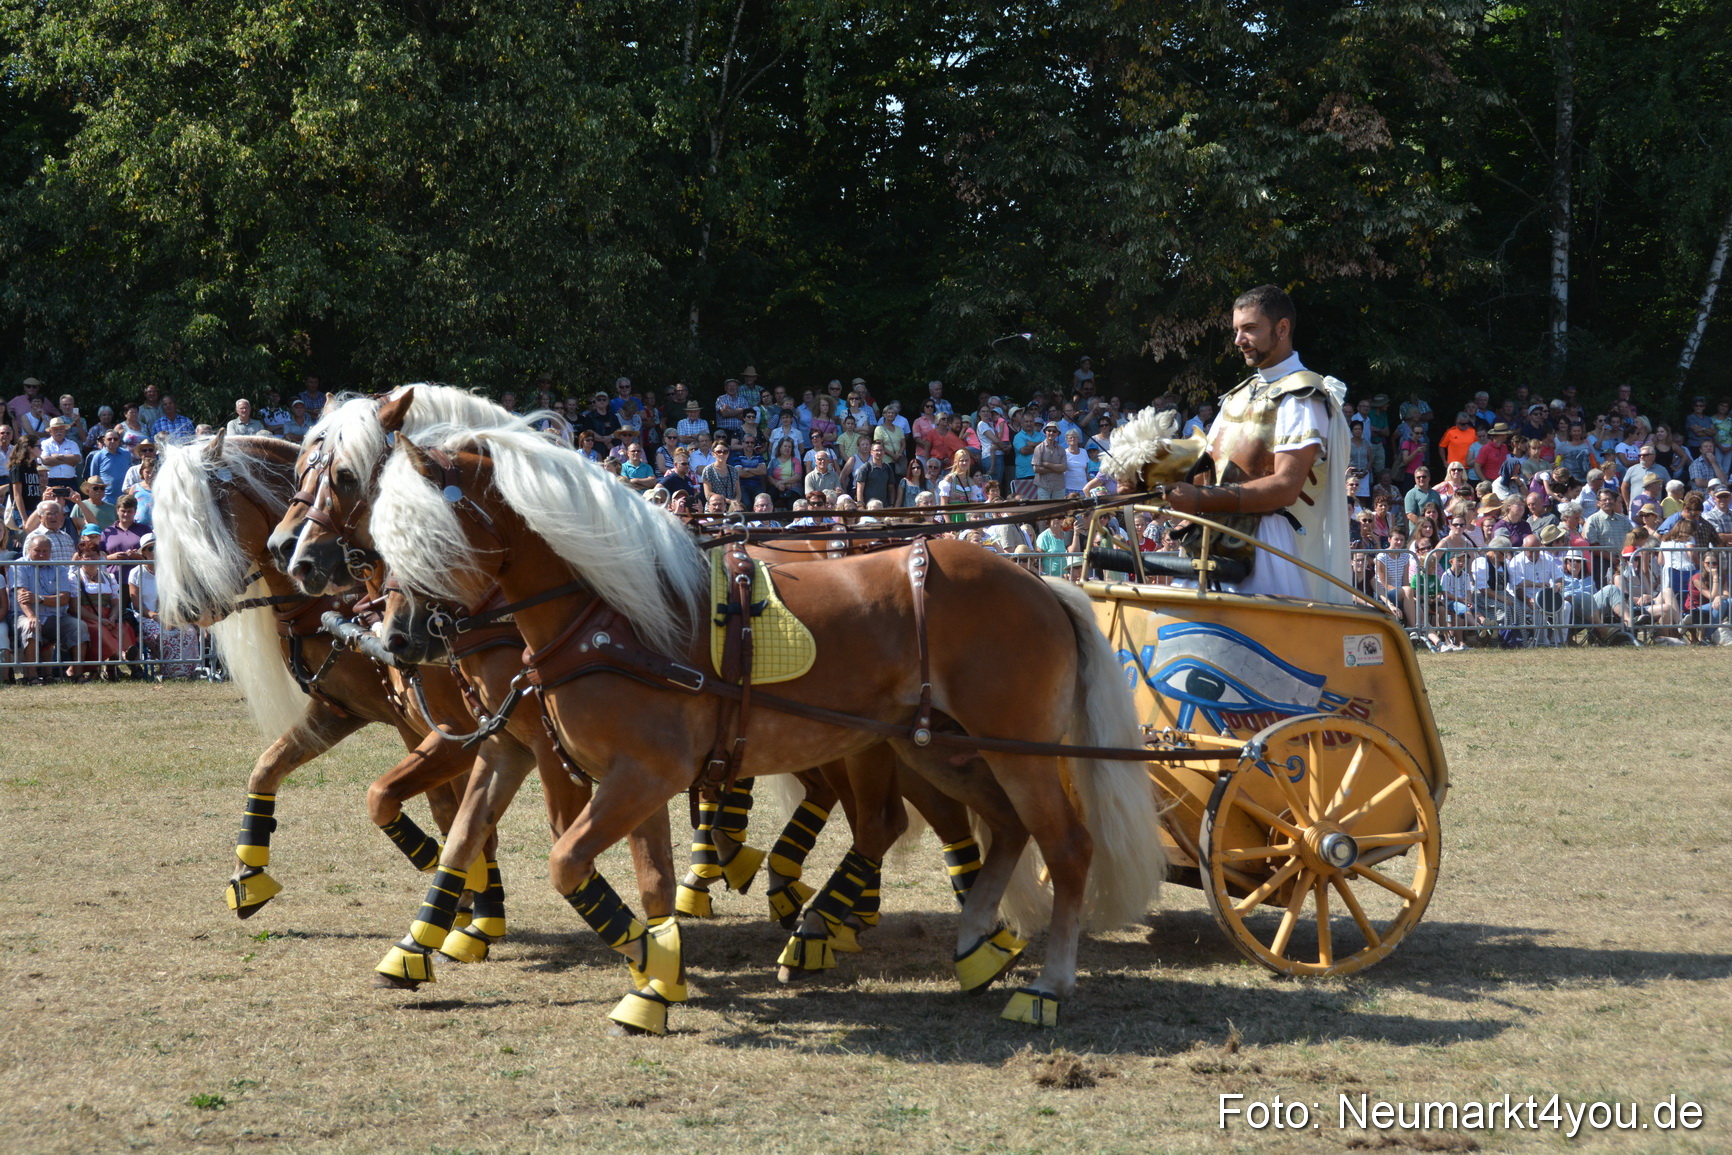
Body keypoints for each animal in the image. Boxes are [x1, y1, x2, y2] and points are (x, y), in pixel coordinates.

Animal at [290, 390, 1162, 1029]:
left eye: (426, 526)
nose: (399, 635)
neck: (608, 612)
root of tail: (1040, 581)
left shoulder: (630, 771)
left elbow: (566, 857)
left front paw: (642, 959)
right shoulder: (569, 762)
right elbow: (551, 855)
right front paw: (651, 970)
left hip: (1010, 747)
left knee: (1065, 843)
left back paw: (1043, 981)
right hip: (933, 745)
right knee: (997, 826)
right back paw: (974, 941)